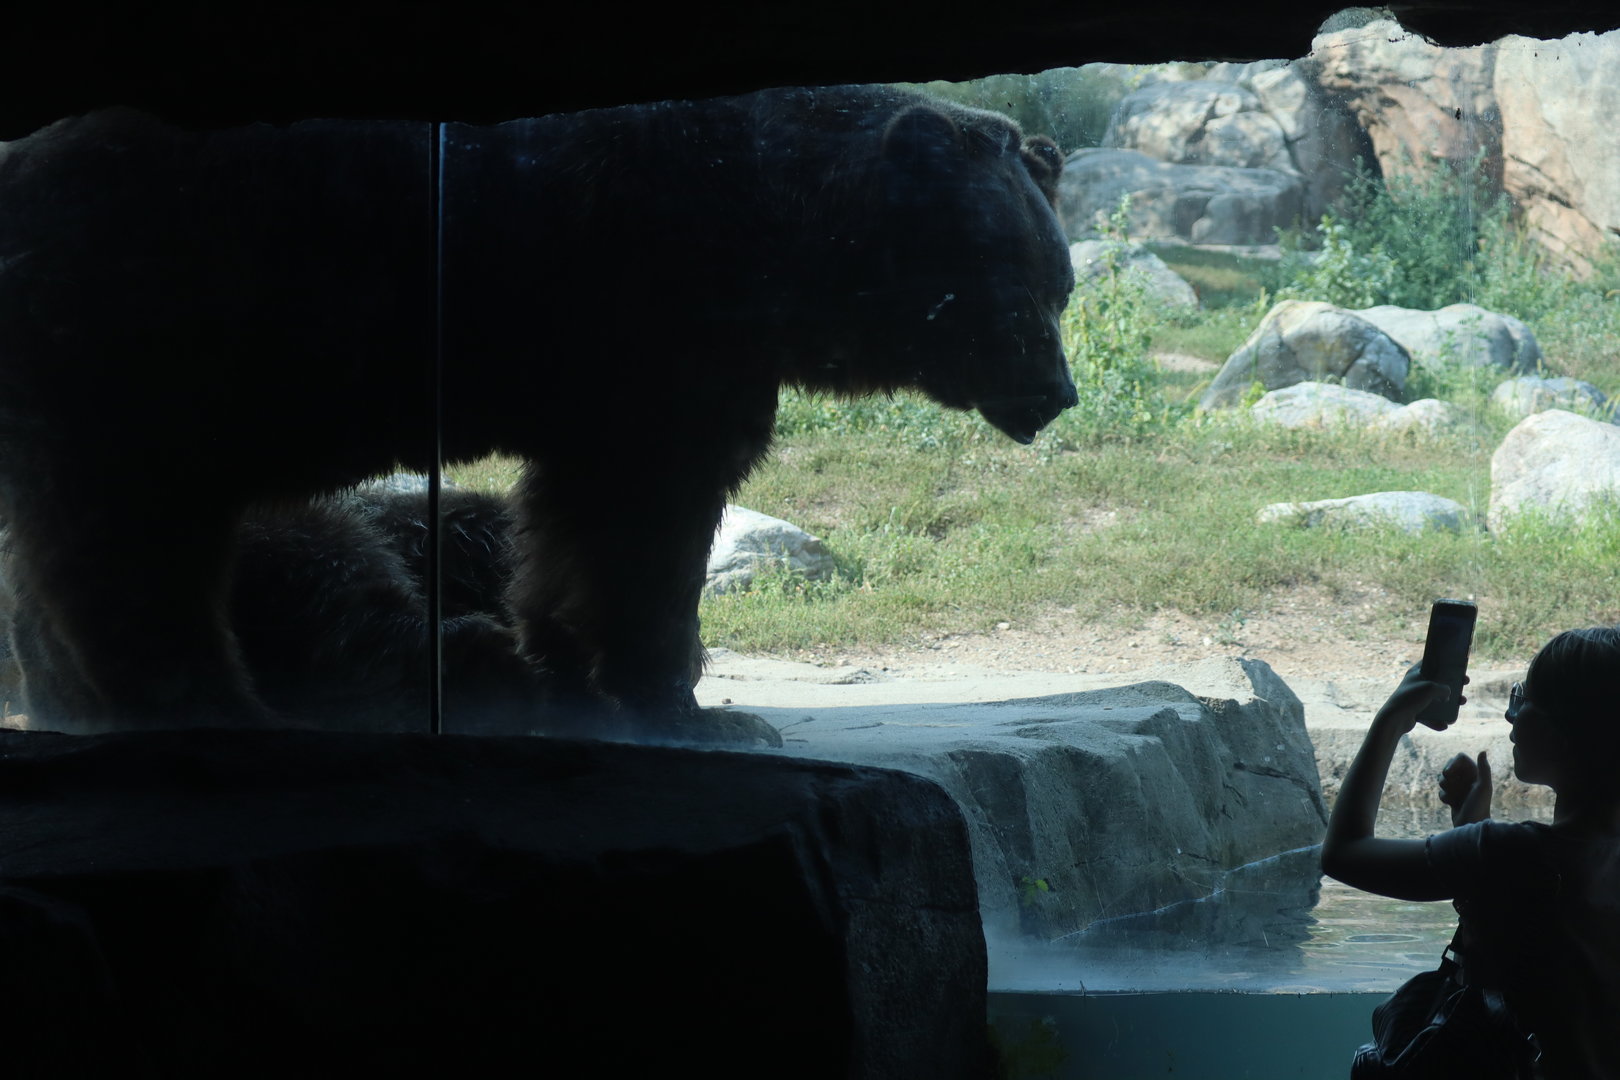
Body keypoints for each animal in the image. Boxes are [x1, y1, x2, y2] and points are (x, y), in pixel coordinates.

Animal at [0, 84, 1075, 738]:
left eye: (1059, 286)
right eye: (1014, 294)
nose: (1055, 394)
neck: (774, 235)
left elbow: (575, 519)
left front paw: (573, 671)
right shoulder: (657, 323)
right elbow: (649, 517)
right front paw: (692, 703)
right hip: (157, 339)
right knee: (136, 543)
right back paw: (201, 700)